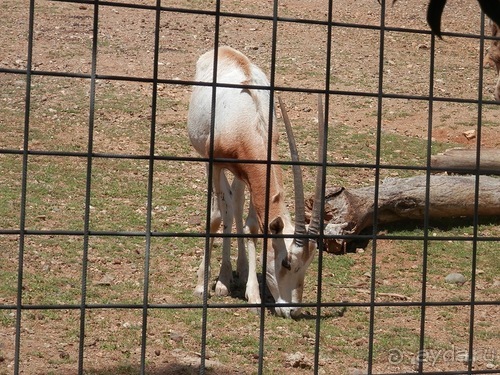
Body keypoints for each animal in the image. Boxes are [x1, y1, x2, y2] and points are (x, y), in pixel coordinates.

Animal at [188, 45, 324, 318]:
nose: (293, 311)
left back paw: (232, 274)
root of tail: (222, 49)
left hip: (240, 175)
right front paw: (201, 286)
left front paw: (251, 293)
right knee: (224, 207)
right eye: (286, 262)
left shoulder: (253, 174)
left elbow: (252, 225)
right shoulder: (215, 164)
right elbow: (215, 218)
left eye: (309, 263)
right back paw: (221, 280)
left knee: (235, 203)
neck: (246, 120)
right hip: (211, 163)